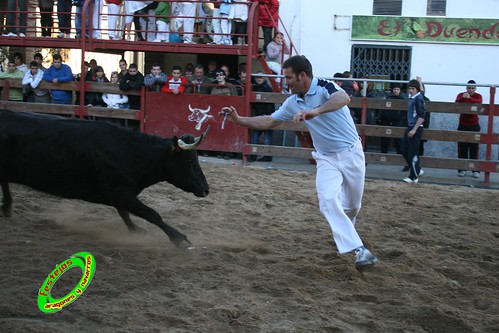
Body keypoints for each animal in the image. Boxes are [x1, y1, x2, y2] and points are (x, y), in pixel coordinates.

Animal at [0, 109, 211, 246]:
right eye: (190, 162)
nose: (206, 189)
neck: (132, 152)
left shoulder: (118, 194)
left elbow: (125, 213)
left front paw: (136, 231)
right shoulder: (120, 191)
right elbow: (151, 214)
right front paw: (179, 239)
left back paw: (7, 207)